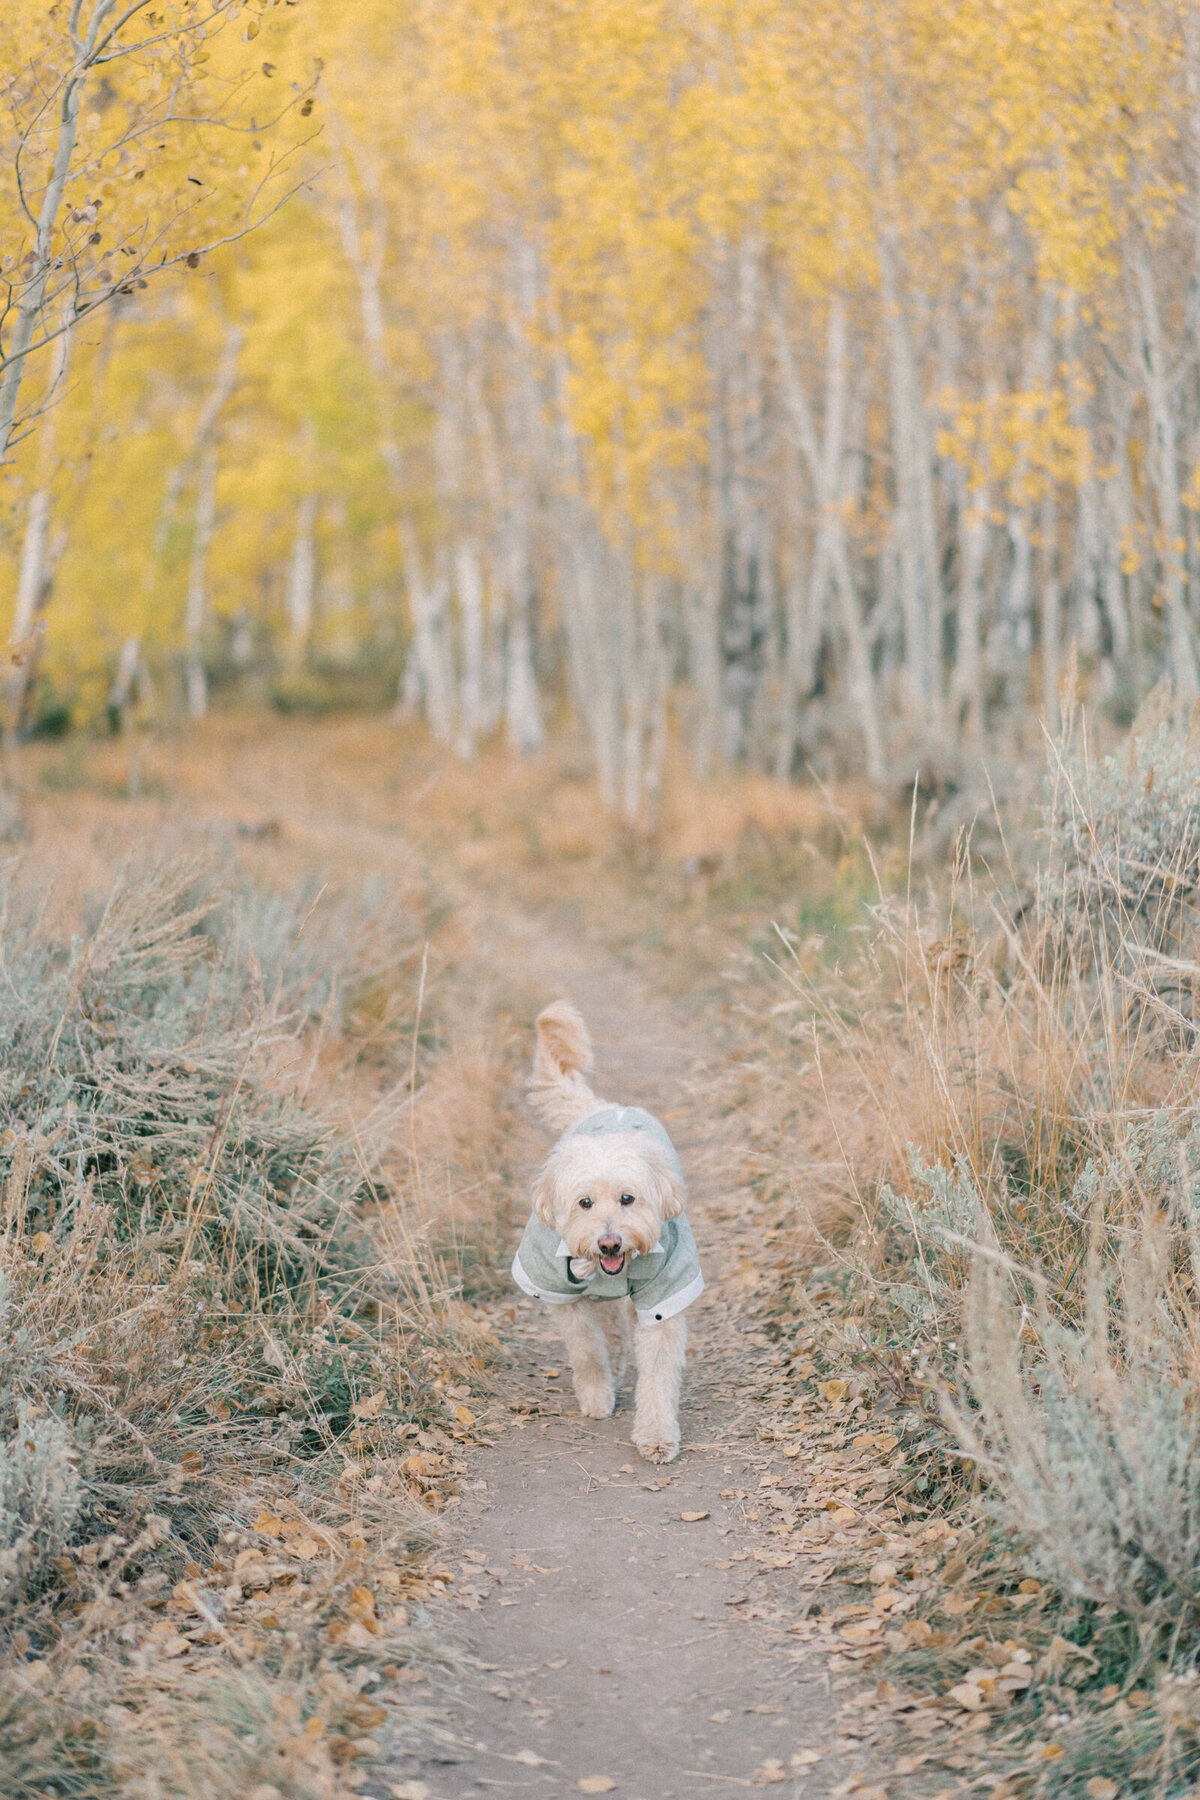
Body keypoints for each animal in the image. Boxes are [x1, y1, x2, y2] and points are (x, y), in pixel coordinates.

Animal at [510, 1008, 705, 1454]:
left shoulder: (663, 1298)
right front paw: (597, 1397)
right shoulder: (564, 1296)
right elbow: (587, 1351)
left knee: (621, 1321)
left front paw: (656, 1435)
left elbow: (657, 1374)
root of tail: (607, 1107)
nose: (609, 1243)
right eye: (584, 1203)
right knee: (610, 1326)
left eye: (628, 1199)